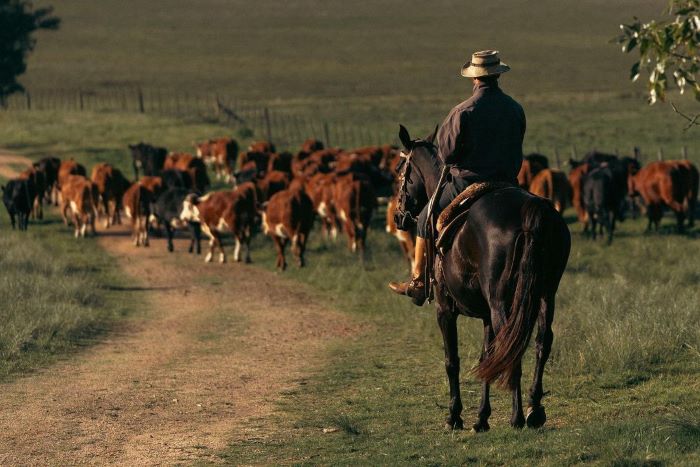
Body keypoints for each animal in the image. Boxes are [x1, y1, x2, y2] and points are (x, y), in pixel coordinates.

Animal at [394, 127, 568, 432]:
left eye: (401, 171)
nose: (398, 216)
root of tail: (532, 209)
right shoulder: (486, 314)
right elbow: (487, 356)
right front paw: (482, 417)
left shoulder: (445, 310)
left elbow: (452, 361)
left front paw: (455, 416)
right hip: (547, 294)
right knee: (541, 342)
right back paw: (535, 410)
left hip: (502, 303)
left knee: (514, 347)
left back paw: (517, 417)